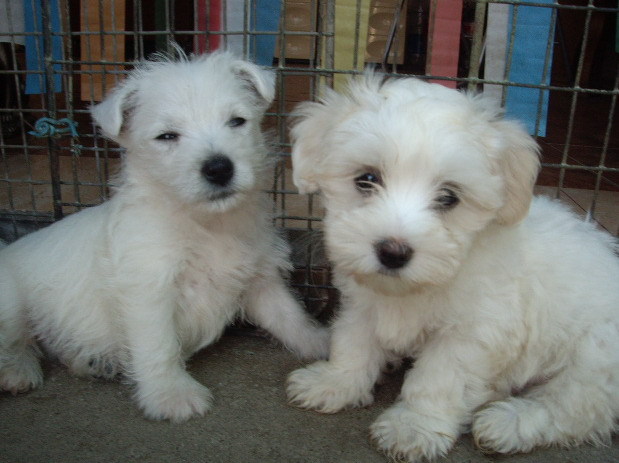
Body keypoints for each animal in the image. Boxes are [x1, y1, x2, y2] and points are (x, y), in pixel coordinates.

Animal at [0, 51, 330, 424]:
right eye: (167, 136)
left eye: (236, 121)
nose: (219, 169)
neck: (206, 224)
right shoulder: (149, 291)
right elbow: (158, 345)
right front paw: (171, 393)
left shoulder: (259, 279)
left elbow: (289, 316)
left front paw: (321, 342)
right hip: (10, 302)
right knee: (16, 342)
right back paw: (16, 371)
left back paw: (91, 362)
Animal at [286, 74, 619, 462]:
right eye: (366, 178)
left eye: (449, 198)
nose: (393, 252)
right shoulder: (364, 303)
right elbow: (354, 342)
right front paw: (335, 382)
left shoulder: (472, 333)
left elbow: (440, 379)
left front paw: (414, 426)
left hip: (597, 353)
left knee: (575, 408)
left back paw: (508, 423)